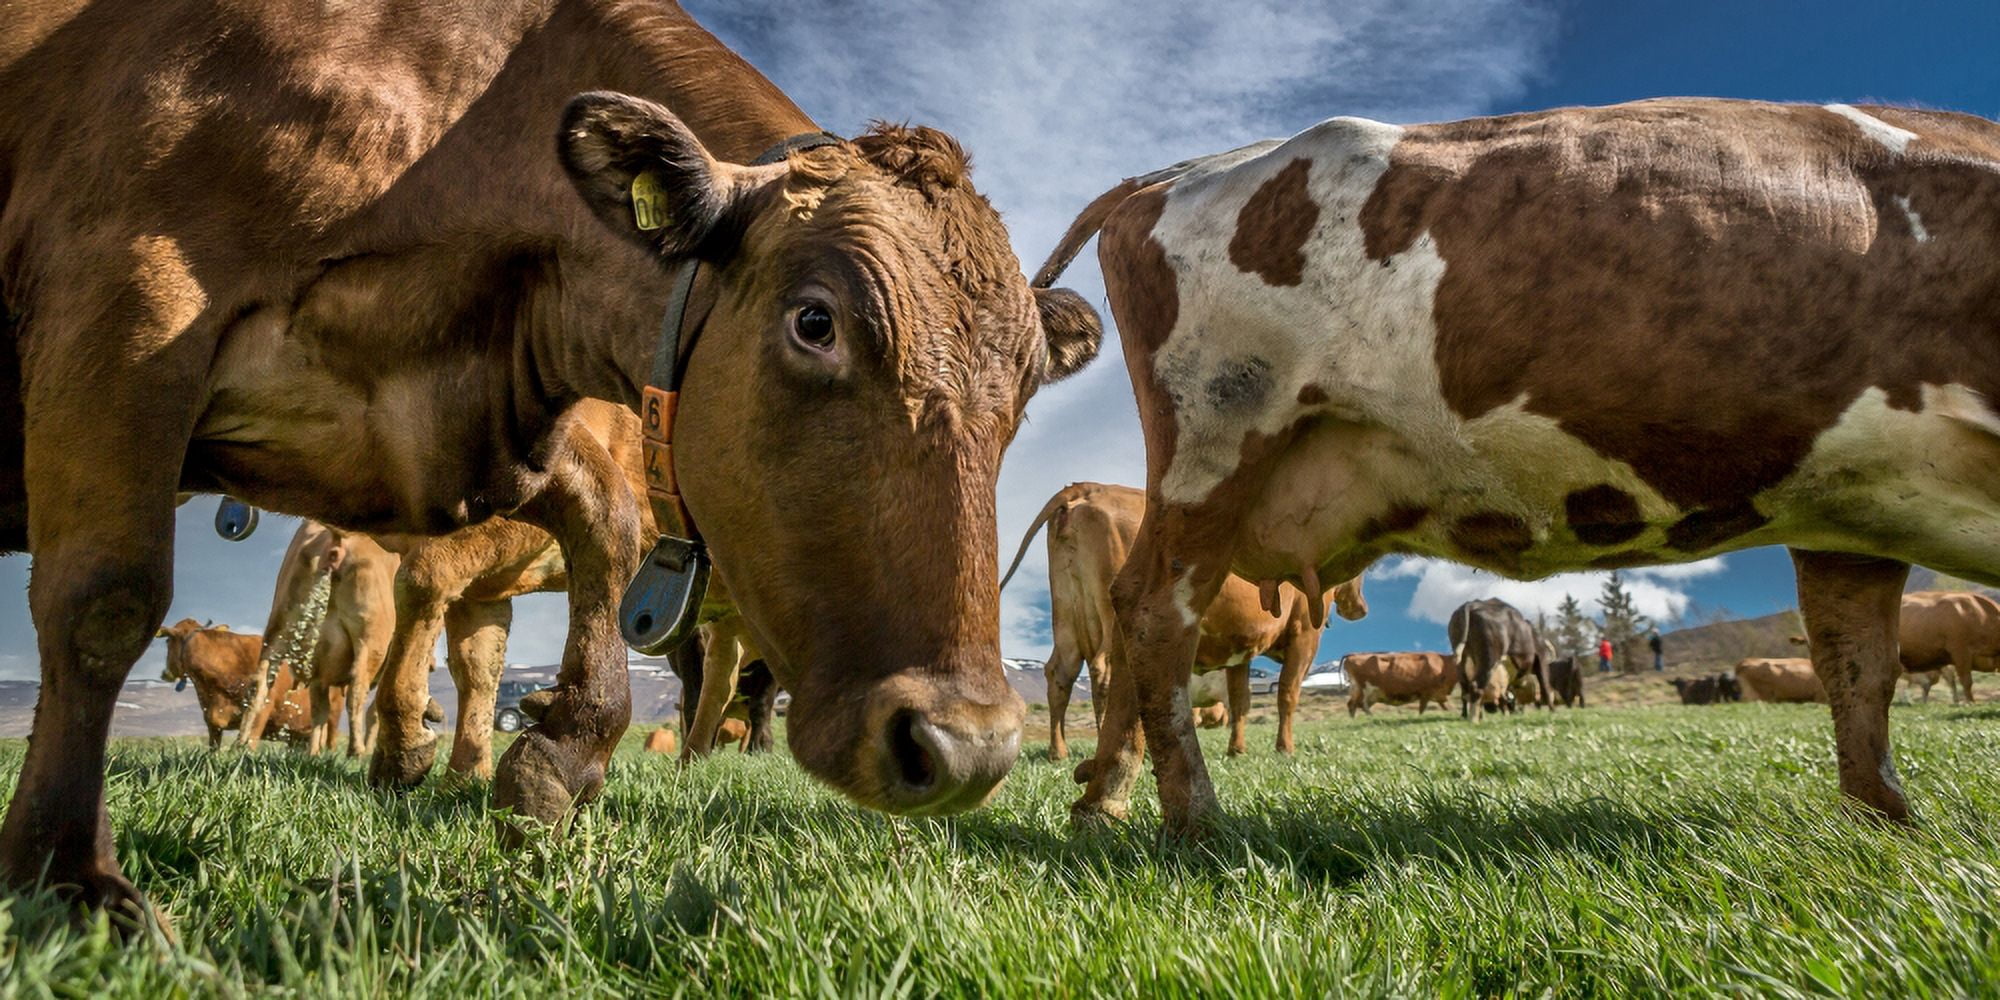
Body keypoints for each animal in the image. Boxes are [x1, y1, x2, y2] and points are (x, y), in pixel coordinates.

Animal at [998, 482, 1366, 760]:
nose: (1360, 609)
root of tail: (1089, 488)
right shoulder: (1305, 634)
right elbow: (1287, 694)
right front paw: (1284, 748)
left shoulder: (1240, 649)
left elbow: (1241, 701)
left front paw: (1237, 750)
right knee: (1103, 669)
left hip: (1069, 616)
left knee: (1060, 674)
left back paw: (1058, 752)